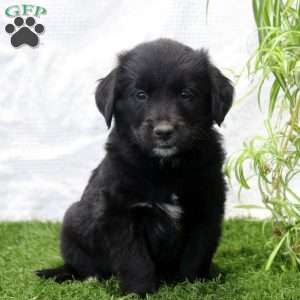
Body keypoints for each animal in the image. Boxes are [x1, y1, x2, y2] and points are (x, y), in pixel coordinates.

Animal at [36, 38, 233, 296]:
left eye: (186, 94)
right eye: (140, 95)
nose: (164, 132)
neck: (166, 169)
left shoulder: (206, 209)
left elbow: (197, 254)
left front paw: (193, 285)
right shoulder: (120, 212)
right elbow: (134, 259)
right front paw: (139, 291)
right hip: (72, 223)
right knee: (80, 266)